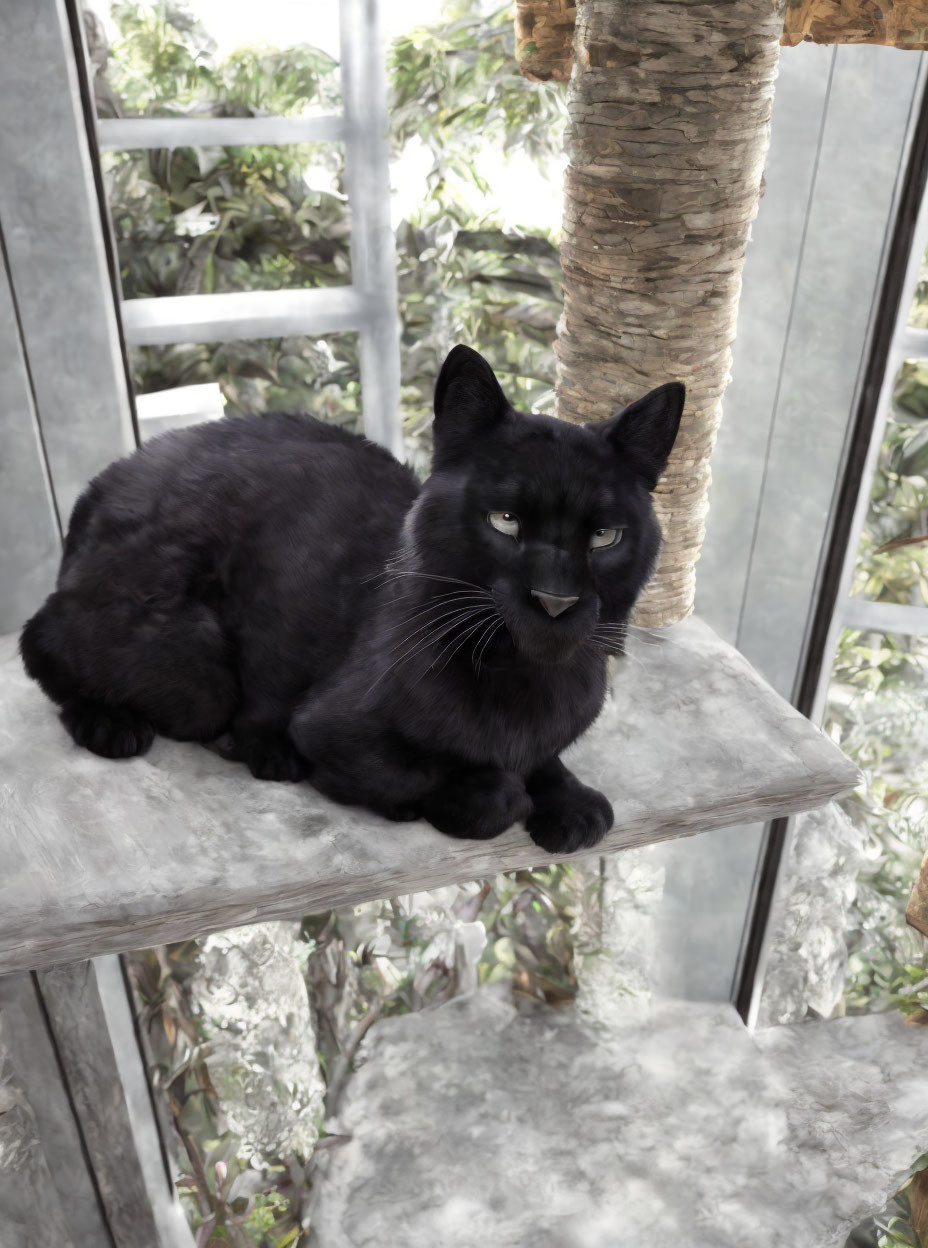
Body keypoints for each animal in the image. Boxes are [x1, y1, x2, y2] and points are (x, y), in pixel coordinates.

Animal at [19, 351, 683, 858]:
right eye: (506, 520)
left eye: (604, 537)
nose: (555, 598)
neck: (525, 678)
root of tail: (104, 482)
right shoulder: (335, 728)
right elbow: (440, 774)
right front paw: (486, 794)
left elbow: (544, 760)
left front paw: (570, 800)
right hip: (191, 665)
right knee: (42, 642)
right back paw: (121, 726)